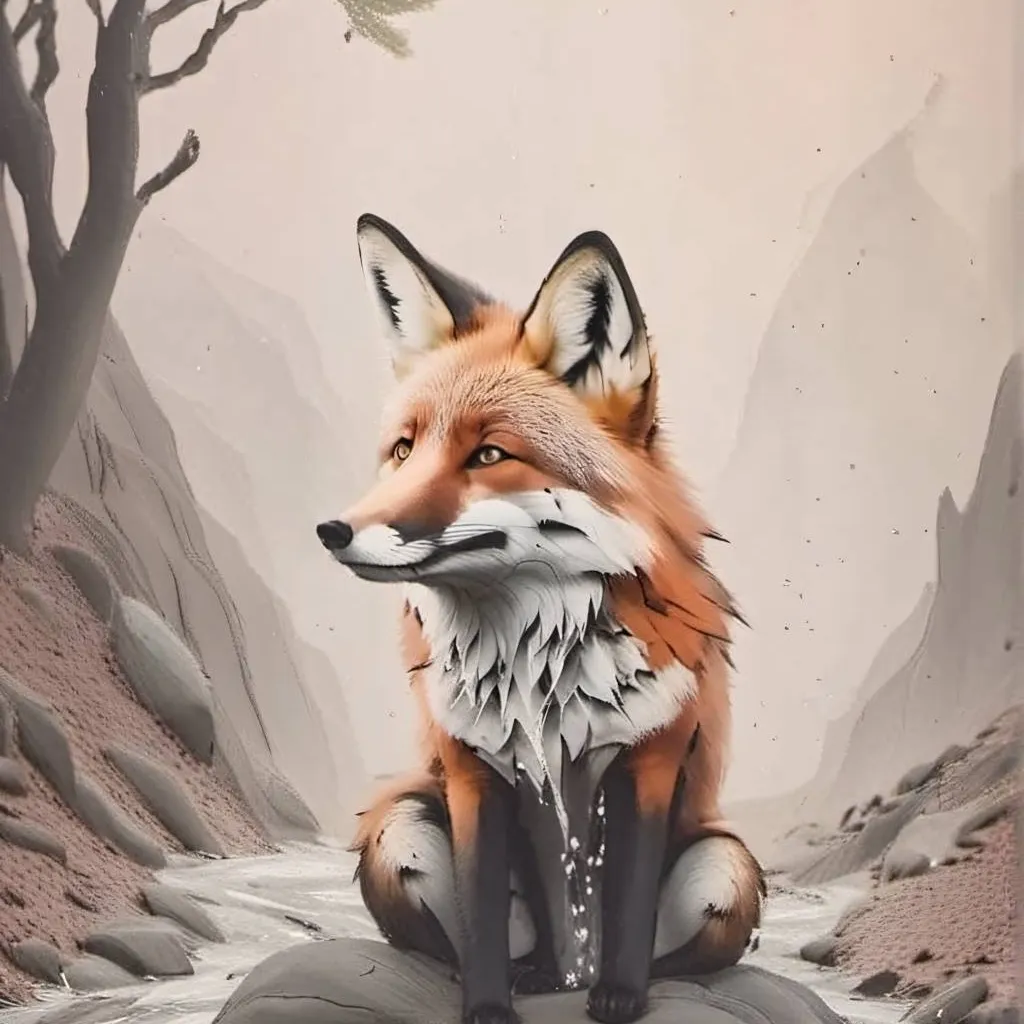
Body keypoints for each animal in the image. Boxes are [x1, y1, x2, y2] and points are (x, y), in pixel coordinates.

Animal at [316, 214, 766, 1024]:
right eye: (403, 450)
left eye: (489, 454)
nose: (333, 531)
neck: (539, 675)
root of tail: (568, 972)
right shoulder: (474, 773)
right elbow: (482, 919)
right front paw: (489, 1006)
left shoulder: (648, 762)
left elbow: (627, 908)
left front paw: (622, 997)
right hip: (398, 832)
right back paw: (536, 977)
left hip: (728, 868)